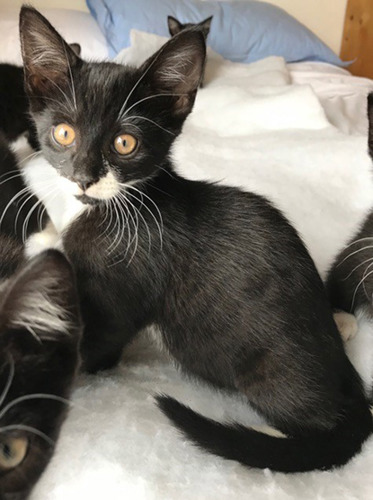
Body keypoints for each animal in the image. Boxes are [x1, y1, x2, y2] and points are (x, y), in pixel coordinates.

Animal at [19, 8, 372, 476]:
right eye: (63, 134)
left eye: (125, 143)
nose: (83, 177)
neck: (115, 208)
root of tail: (344, 368)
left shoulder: (121, 294)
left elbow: (94, 345)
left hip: (271, 370)